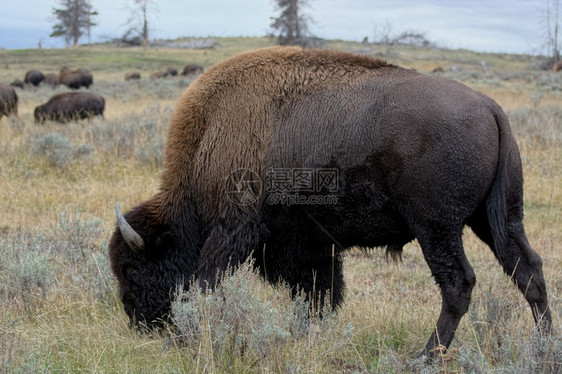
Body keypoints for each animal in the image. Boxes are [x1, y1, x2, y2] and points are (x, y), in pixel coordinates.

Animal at [108, 46, 548, 356]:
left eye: (132, 269)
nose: (137, 321)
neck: (210, 137)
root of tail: (491, 108)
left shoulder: (233, 229)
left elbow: (208, 281)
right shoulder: (311, 244)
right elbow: (318, 292)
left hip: (437, 227)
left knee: (459, 284)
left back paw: (424, 356)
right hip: (496, 218)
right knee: (527, 270)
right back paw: (543, 347)